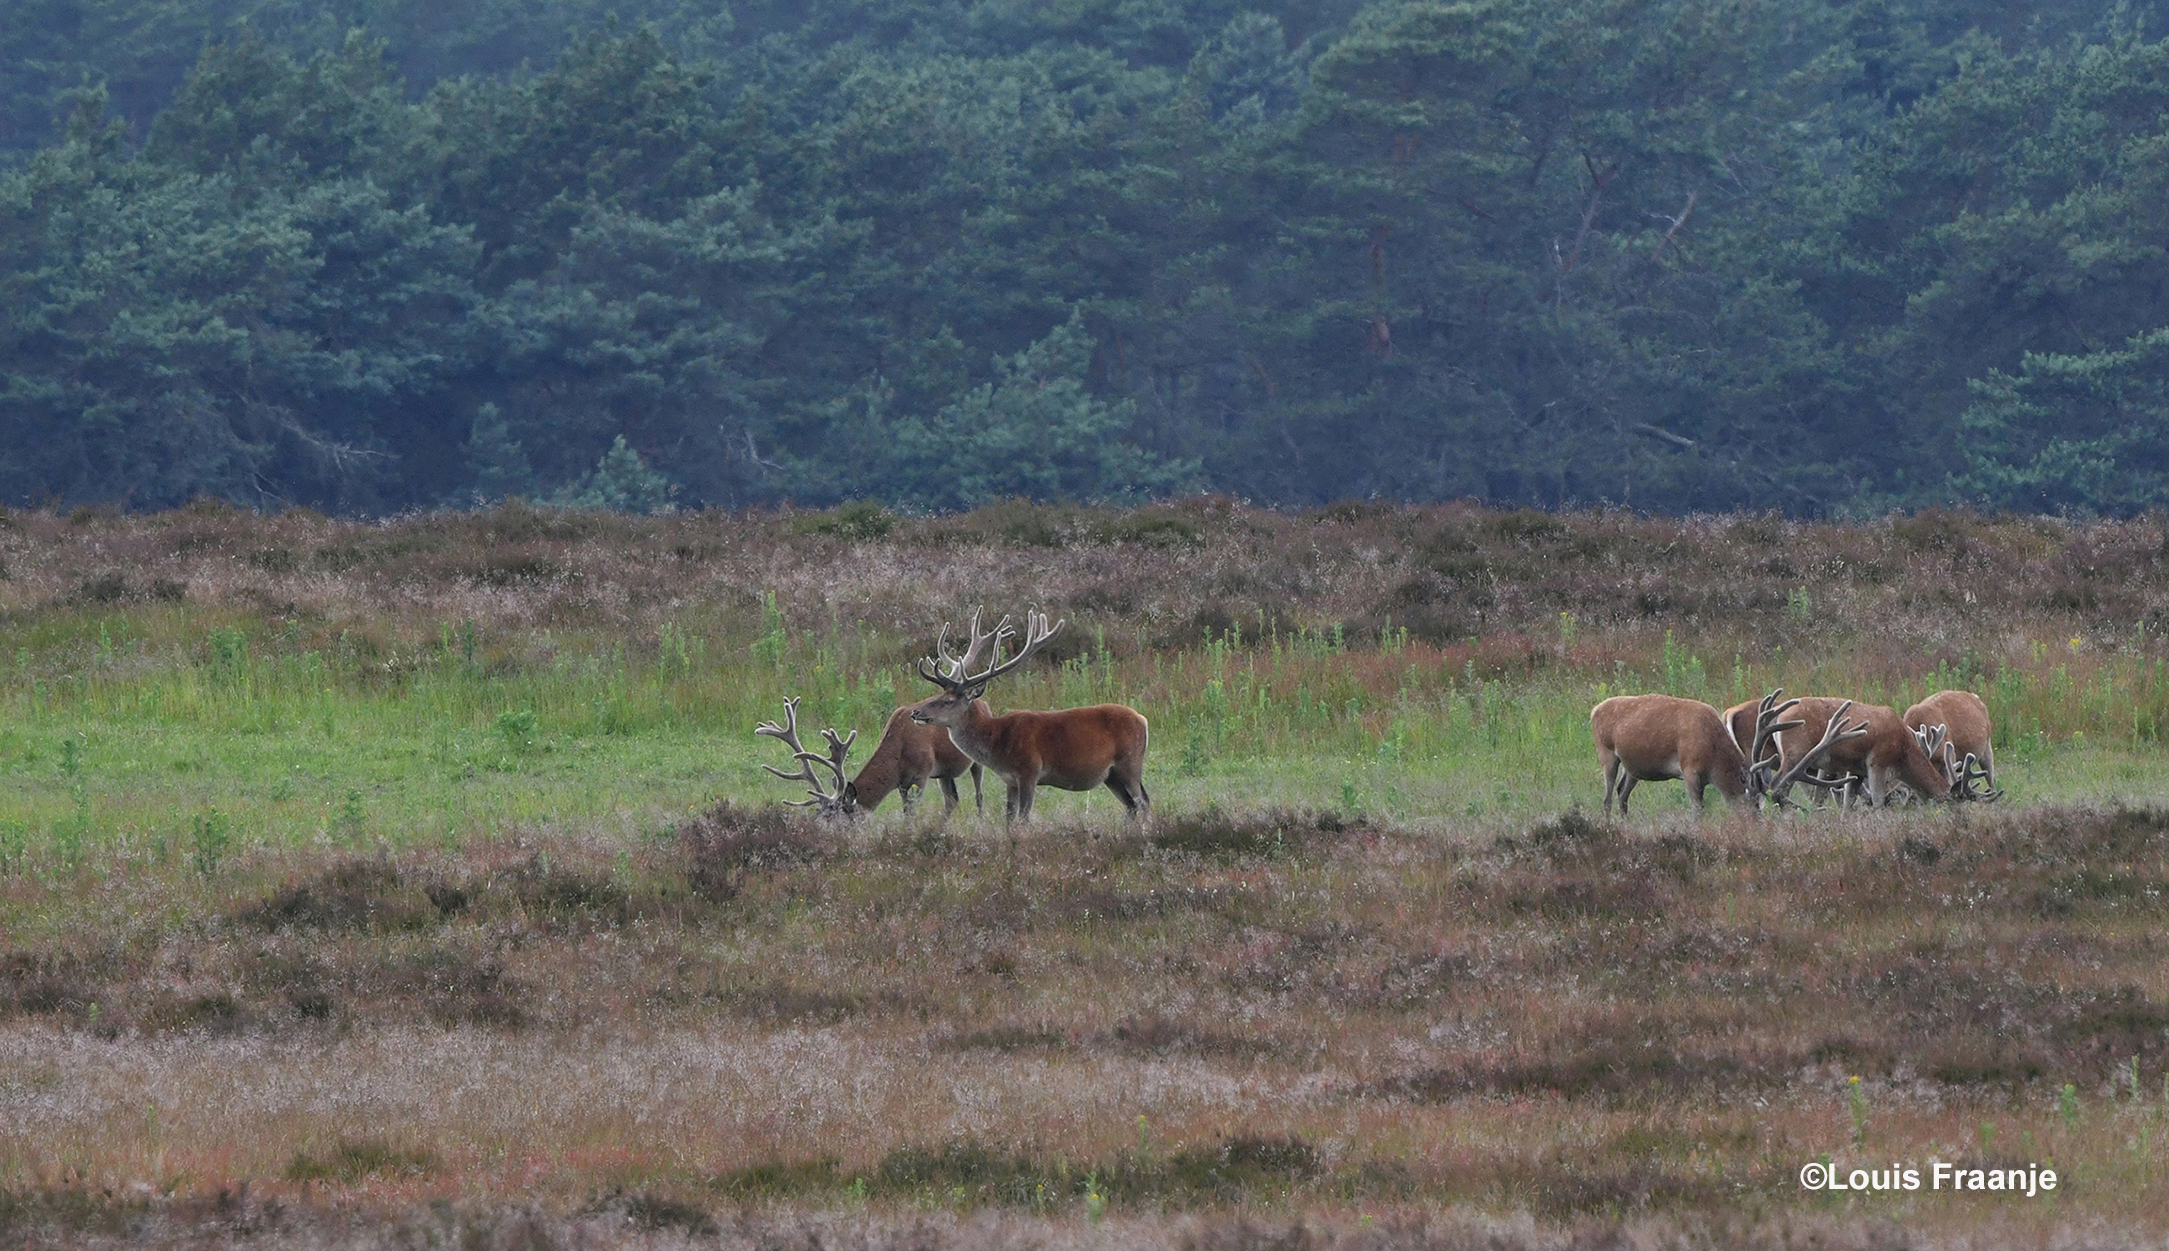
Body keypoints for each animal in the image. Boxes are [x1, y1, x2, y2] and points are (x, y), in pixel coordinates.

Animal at [906, 611, 1153, 823]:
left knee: (1143, 801)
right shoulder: (1010, 781)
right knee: (1131, 805)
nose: (916, 712)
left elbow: (1024, 818)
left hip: (1130, 761)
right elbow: (1009, 818)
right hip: (1111, 774)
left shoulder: (1030, 771)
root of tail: (1143, 719)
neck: (998, 744)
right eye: (938, 694)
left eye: (948, 701)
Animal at [1587, 689, 1874, 815]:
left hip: (1633, 766)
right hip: (1606, 753)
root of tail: (1593, 709)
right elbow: (1698, 809)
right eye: (1751, 809)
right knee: (1607, 796)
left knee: (1622, 793)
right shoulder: (1689, 767)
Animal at [1717, 698, 1960, 806]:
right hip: (1795, 753)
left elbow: (1844, 801)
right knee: (1776, 787)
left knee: (1756, 788)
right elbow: (1877, 800)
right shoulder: (1876, 762)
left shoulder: (1853, 770)